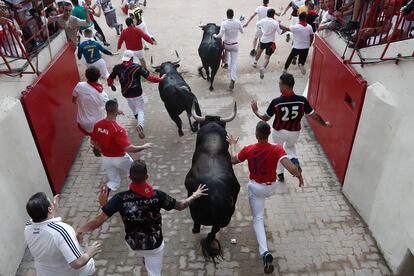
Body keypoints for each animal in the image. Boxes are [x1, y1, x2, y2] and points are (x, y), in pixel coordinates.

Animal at [186, 101, 241, 264]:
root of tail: (215, 198)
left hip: (195, 213)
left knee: (198, 226)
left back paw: (194, 230)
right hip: (224, 220)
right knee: (214, 231)